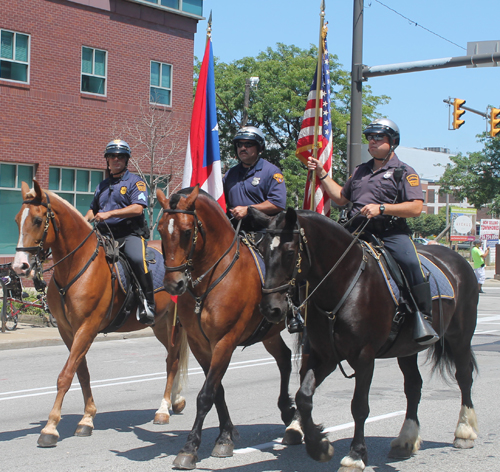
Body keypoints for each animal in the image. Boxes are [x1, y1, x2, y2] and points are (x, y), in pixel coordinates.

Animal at [13, 180, 190, 446]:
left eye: (36, 219)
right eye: (16, 220)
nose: (19, 266)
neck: (76, 265)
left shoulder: (87, 327)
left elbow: (65, 375)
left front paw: (50, 427)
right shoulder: (68, 331)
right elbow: (81, 373)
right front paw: (87, 419)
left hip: (174, 323)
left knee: (173, 360)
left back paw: (164, 408)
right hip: (159, 324)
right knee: (173, 357)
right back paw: (177, 401)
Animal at [156, 186, 302, 470]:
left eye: (187, 231)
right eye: (159, 230)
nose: (173, 284)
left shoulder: (225, 341)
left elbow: (206, 395)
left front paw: (189, 448)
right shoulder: (201, 345)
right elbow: (217, 390)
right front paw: (224, 437)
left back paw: (297, 424)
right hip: (269, 333)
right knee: (285, 359)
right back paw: (287, 412)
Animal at [252, 208, 478, 472]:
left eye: (289, 252)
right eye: (262, 249)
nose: (270, 308)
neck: (344, 283)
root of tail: (456, 258)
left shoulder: (363, 357)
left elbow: (359, 406)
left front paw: (355, 455)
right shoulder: (325, 355)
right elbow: (304, 396)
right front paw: (319, 446)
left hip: (460, 336)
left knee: (464, 377)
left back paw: (464, 431)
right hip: (407, 349)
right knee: (413, 386)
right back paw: (406, 439)